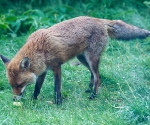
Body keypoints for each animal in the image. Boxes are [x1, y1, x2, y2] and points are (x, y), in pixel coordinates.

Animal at [0, 16, 150, 104]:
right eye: (11, 85)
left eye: (19, 85)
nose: (14, 98)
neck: (39, 49)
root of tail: (98, 19)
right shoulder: (42, 71)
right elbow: (37, 88)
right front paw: (34, 100)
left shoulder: (56, 66)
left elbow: (57, 88)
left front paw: (58, 103)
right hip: (82, 58)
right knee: (93, 75)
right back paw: (89, 90)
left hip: (91, 58)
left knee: (98, 76)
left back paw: (93, 96)